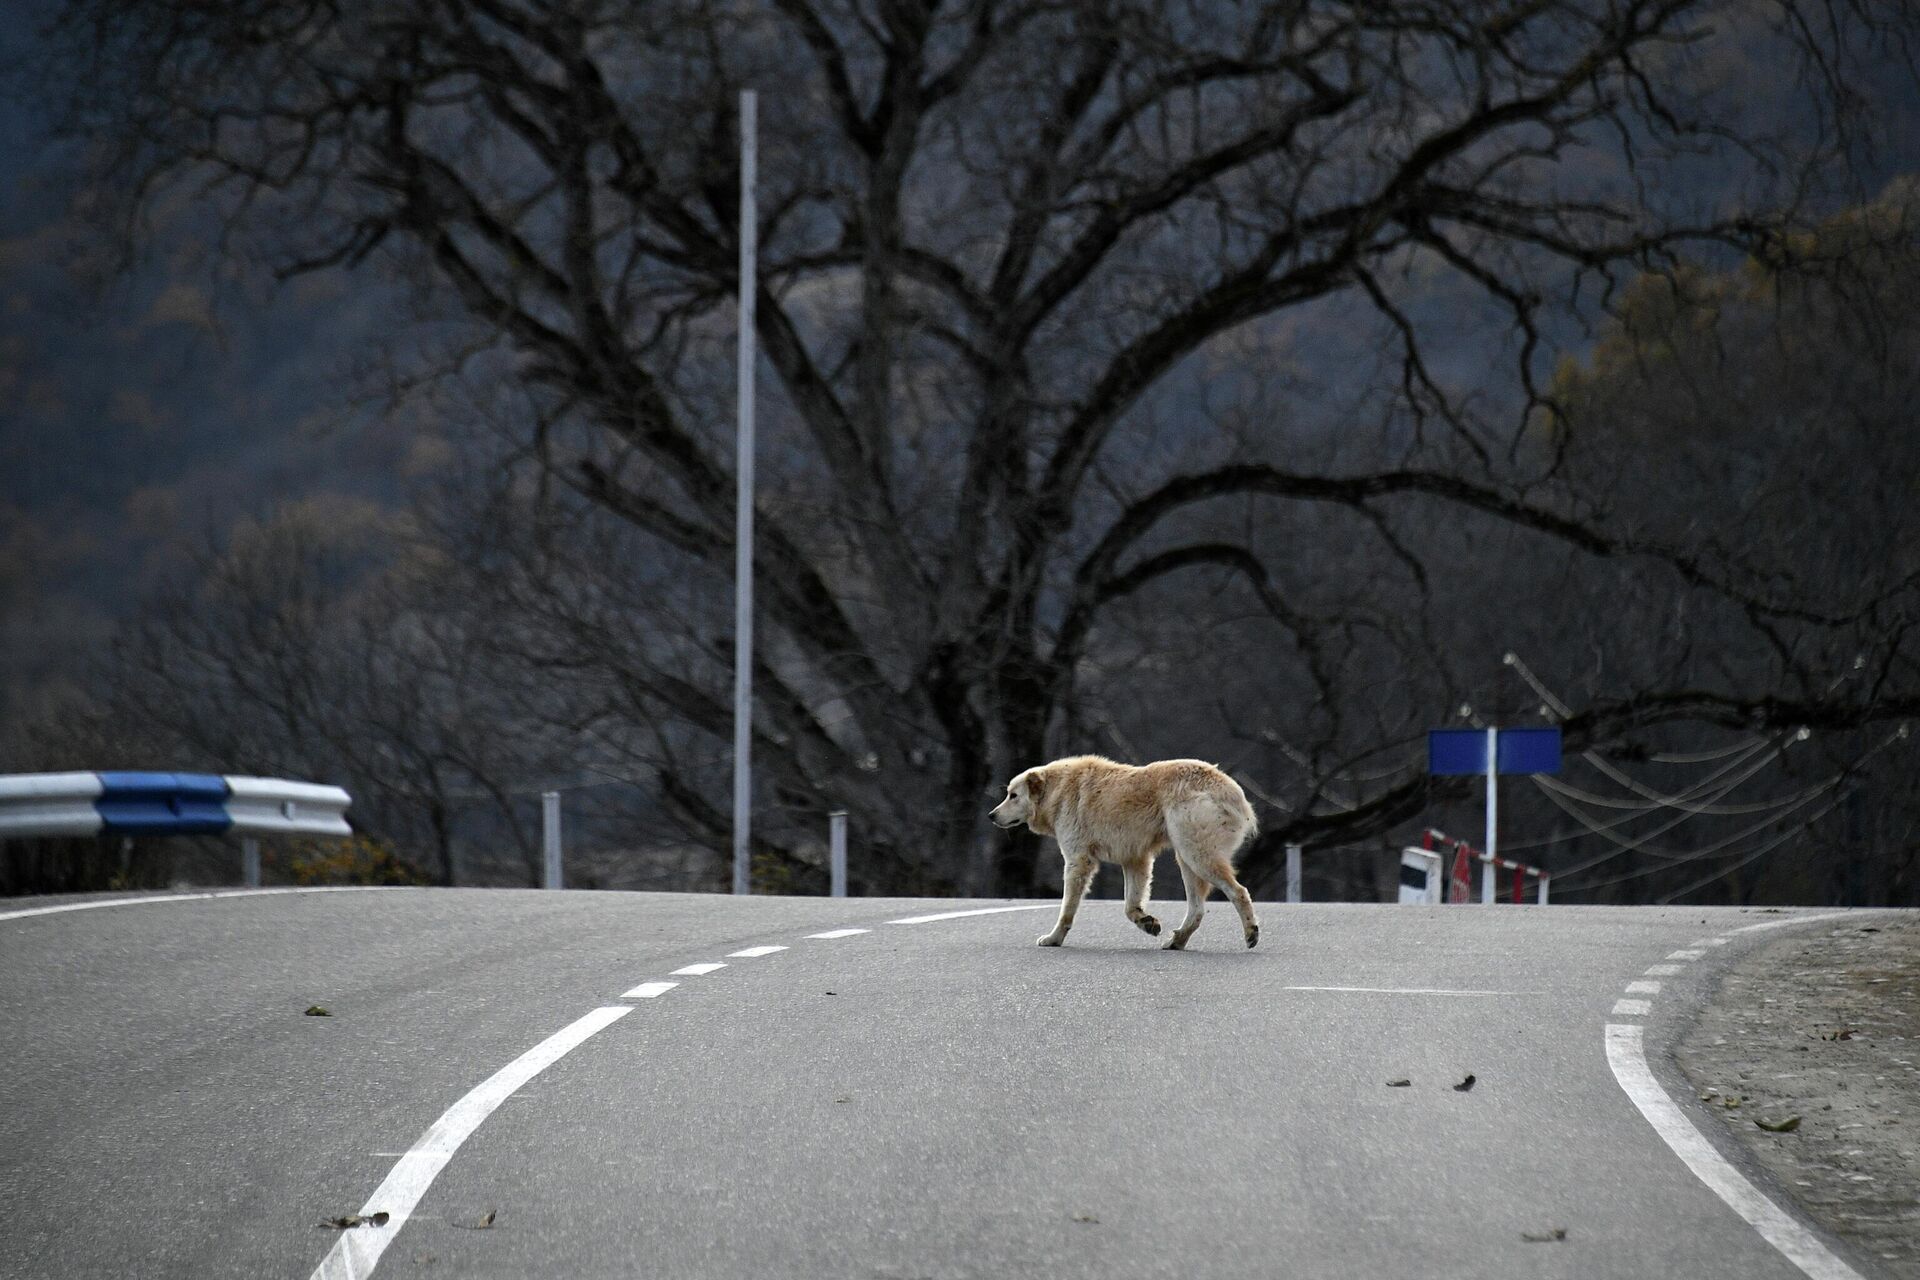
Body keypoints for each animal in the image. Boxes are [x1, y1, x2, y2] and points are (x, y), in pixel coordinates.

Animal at [990, 756, 1259, 948]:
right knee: (1197, 905)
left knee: (1236, 890)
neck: (1056, 794)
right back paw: (1175, 940)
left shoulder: (1079, 854)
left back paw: (1251, 933)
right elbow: (1131, 902)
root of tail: (1235, 794)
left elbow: (1068, 903)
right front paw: (1148, 922)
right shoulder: (1134, 856)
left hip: (1192, 841)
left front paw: (1051, 938)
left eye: (1013, 795)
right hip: (1185, 847)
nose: (992, 815)